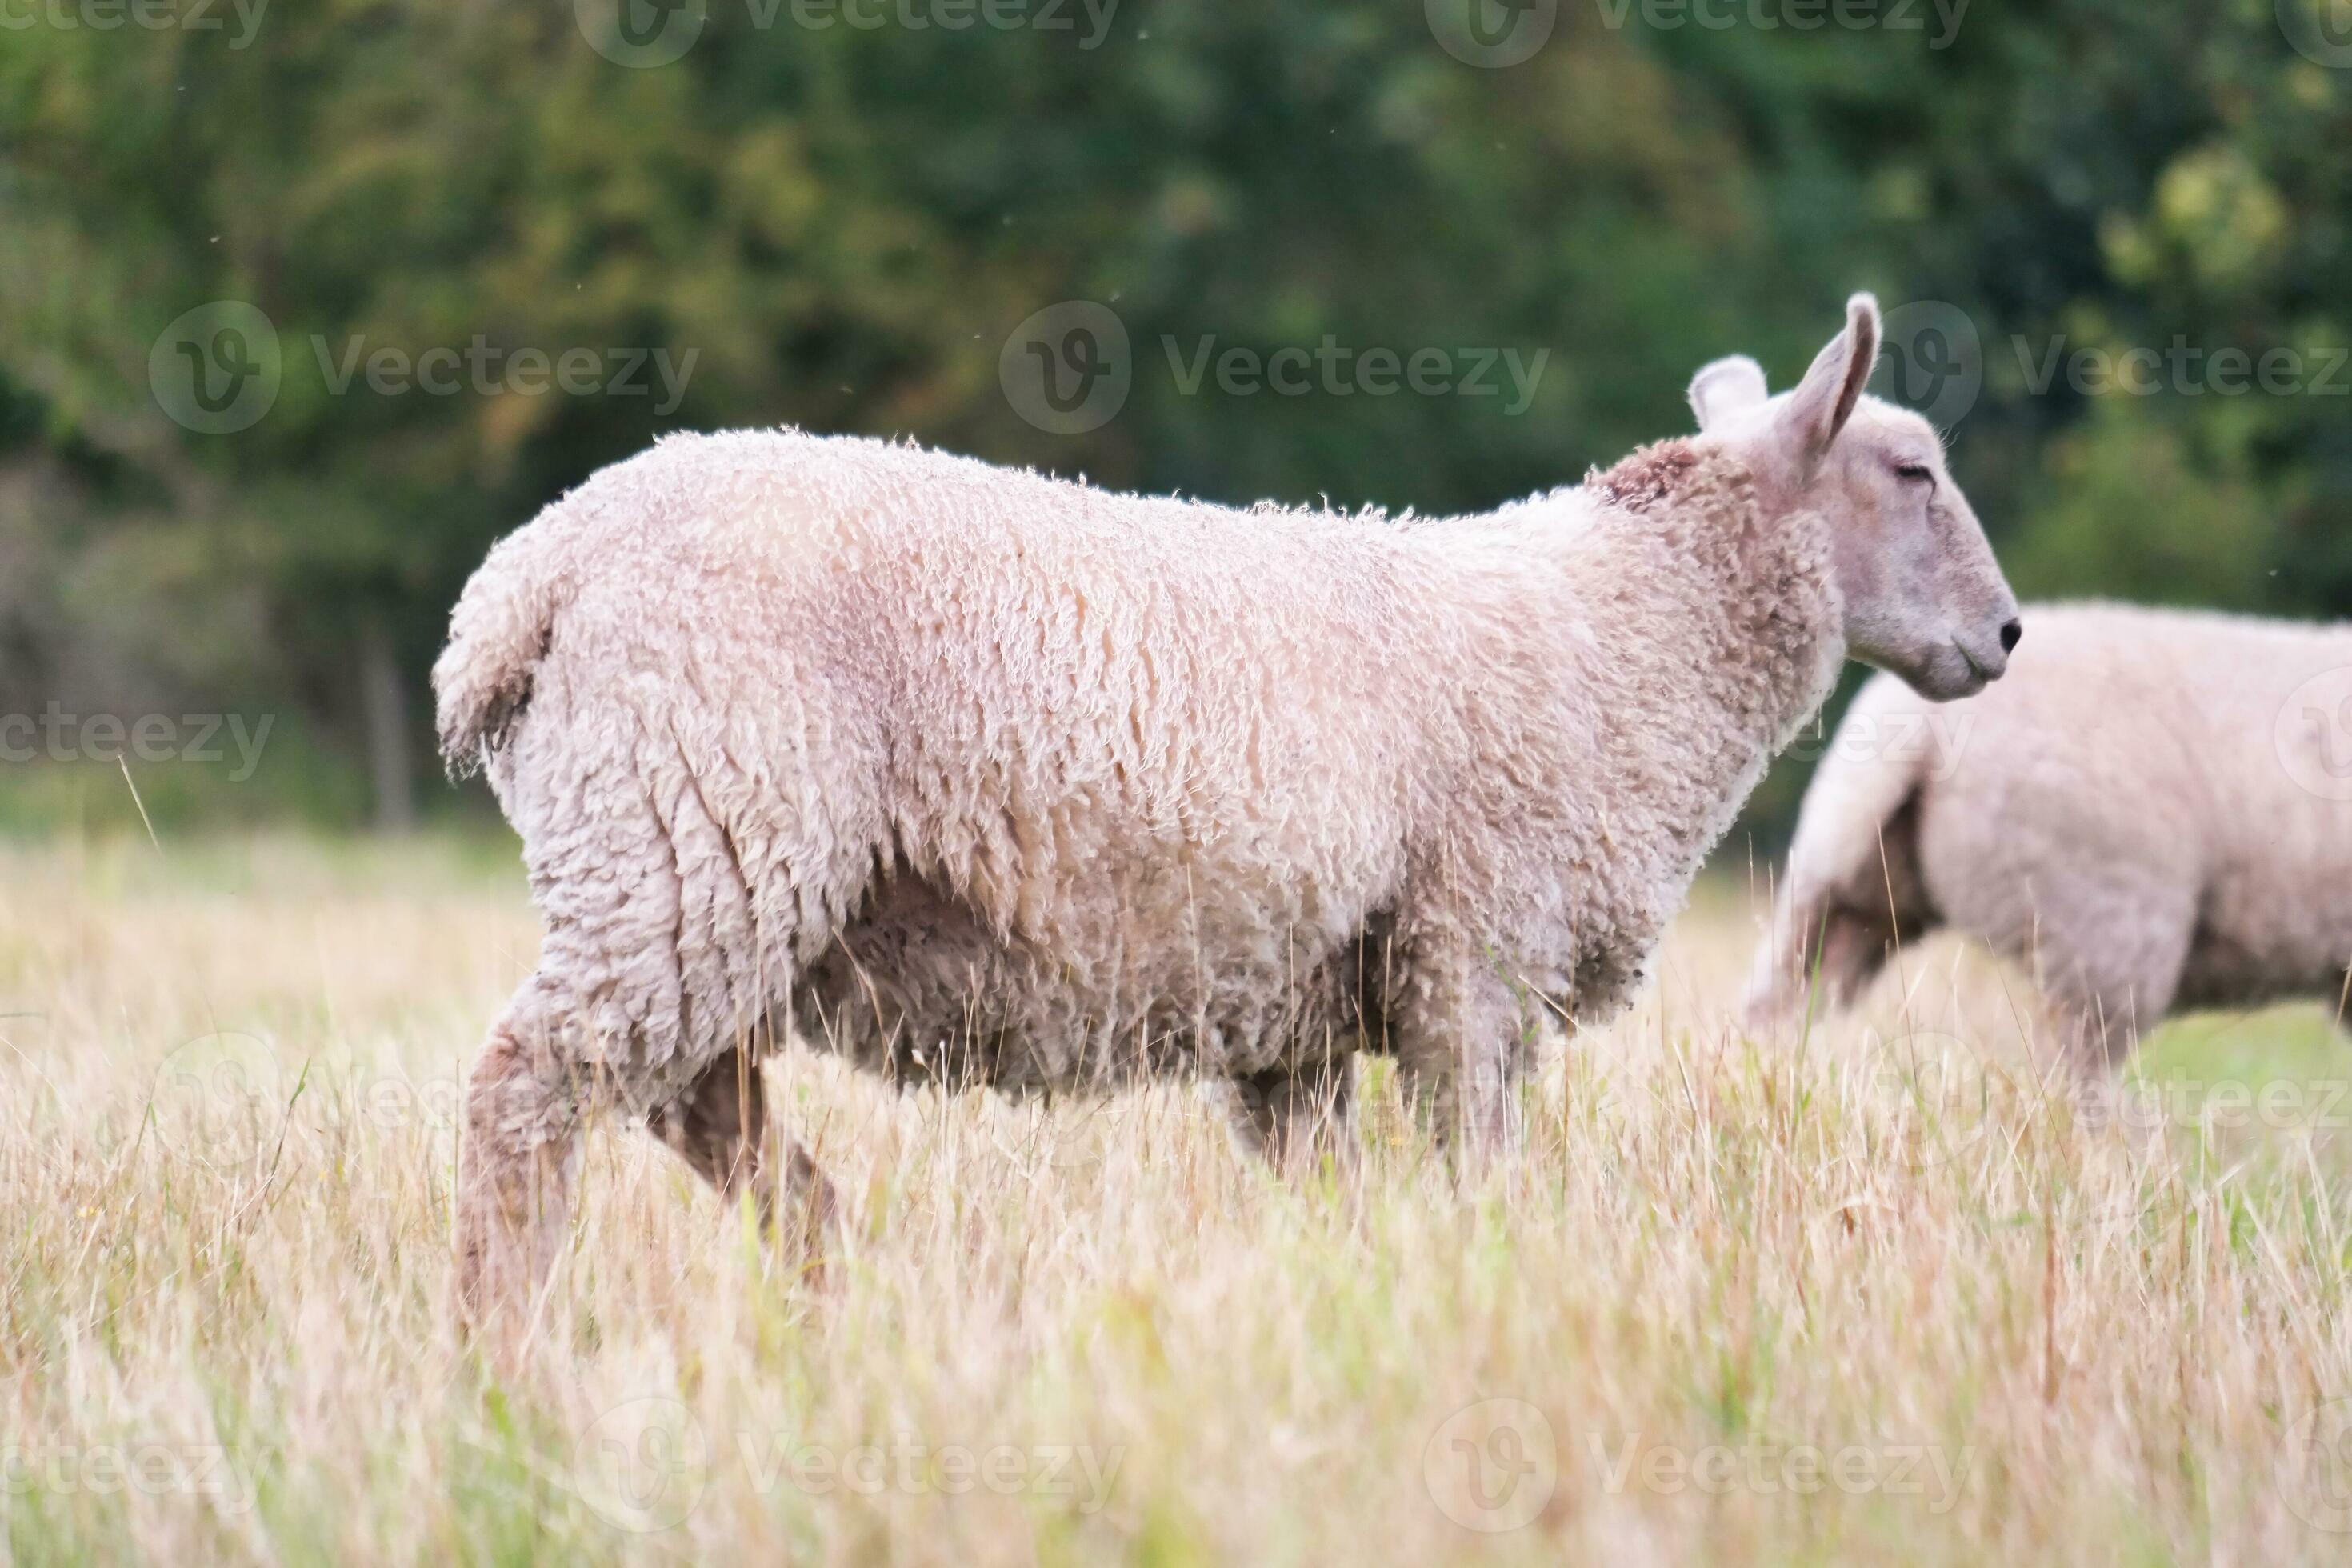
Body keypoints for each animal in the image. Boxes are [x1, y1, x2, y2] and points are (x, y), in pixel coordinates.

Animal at [435, 294, 2020, 1326]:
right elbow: (1483, 1180)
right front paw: (1492, 1298)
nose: (2006, 638)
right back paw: (502, 1353)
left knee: (690, 1094)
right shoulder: (1471, 959)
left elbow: (1337, 1205)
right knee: (532, 1088)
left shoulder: (1302, 1019)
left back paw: (841, 1277)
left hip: (693, 857)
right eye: (1914, 470)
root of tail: (524, 581)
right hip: (698, 823)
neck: (1624, 635)